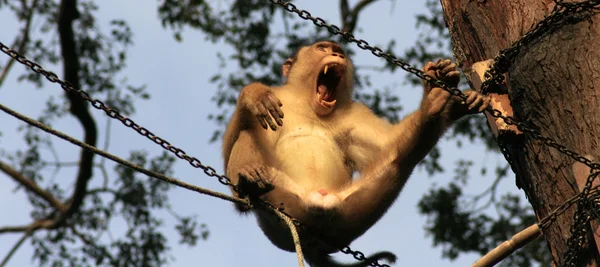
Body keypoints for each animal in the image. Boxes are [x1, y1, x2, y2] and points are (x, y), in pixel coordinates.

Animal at [223, 40, 490, 266]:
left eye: (337, 50)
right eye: (323, 48)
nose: (337, 54)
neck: (310, 106)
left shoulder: (354, 113)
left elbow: (387, 143)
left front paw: (446, 98)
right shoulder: (279, 99)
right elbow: (236, 139)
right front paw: (252, 94)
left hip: (344, 219)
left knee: (398, 160)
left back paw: (433, 106)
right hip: (280, 209)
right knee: (249, 132)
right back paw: (247, 184)